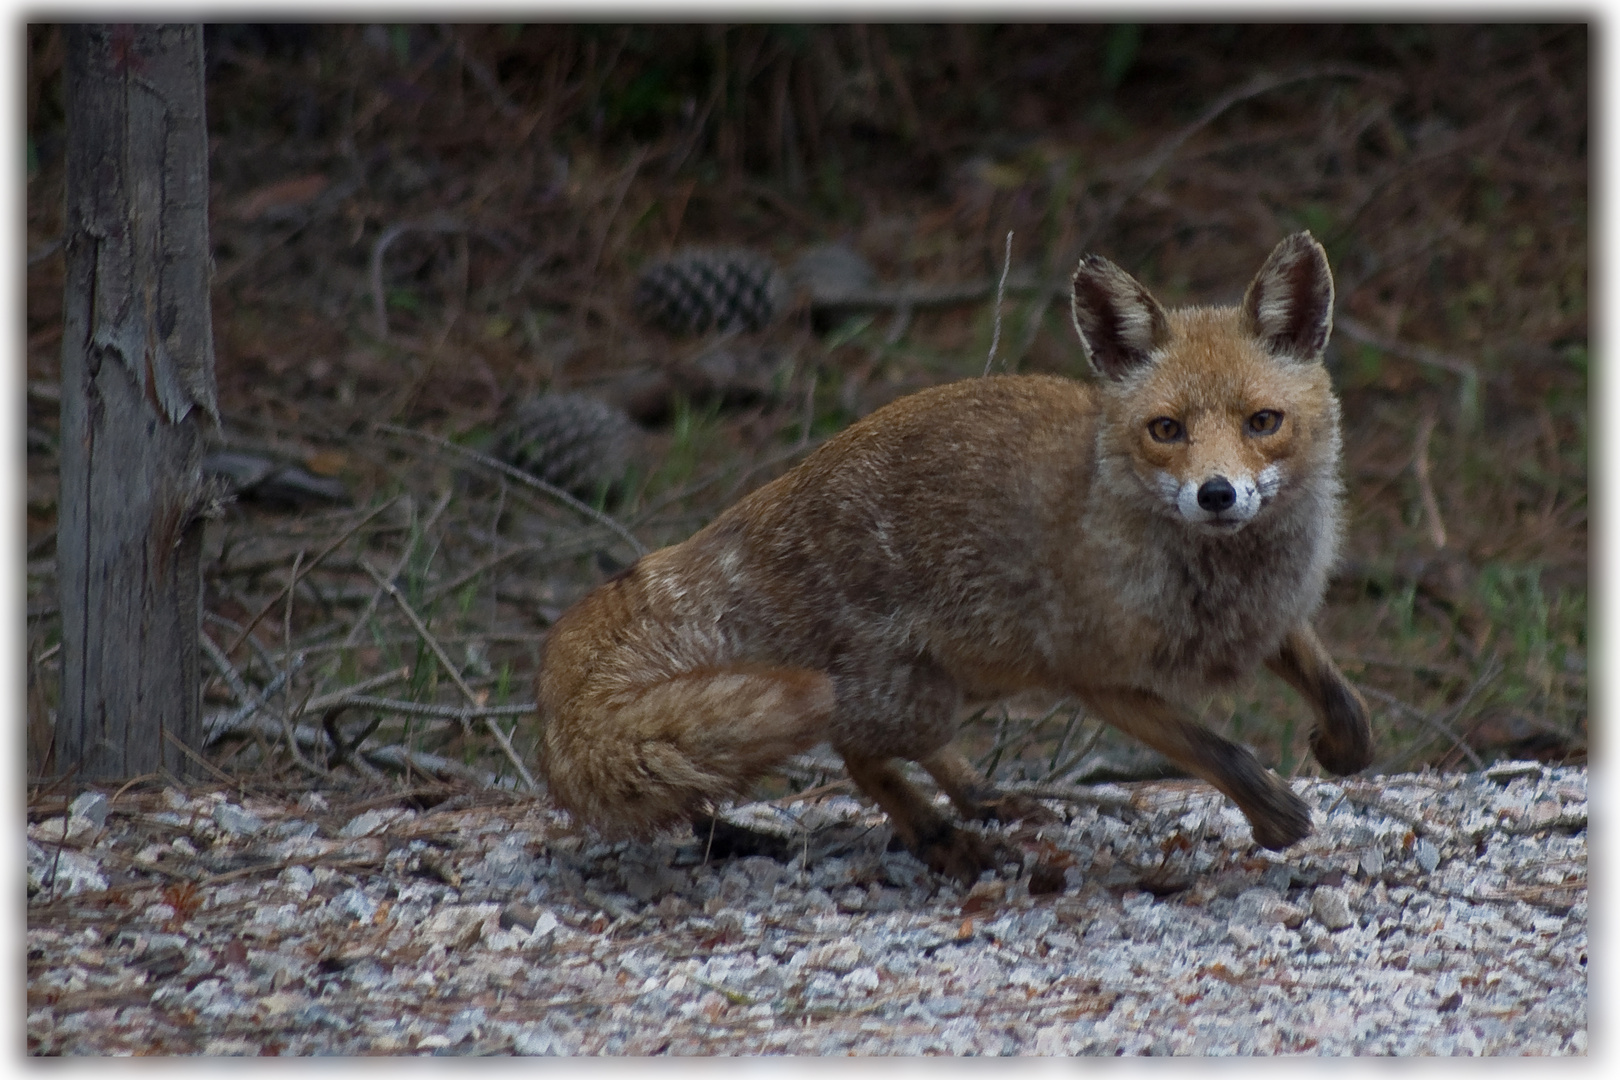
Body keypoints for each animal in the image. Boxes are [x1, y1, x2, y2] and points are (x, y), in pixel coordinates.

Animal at [541, 233, 1367, 880]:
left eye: (1262, 422)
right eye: (1166, 430)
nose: (1217, 495)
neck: (1222, 579)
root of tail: (761, 505)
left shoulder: (1270, 619)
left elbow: (1340, 696)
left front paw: (1337, 746)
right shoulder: (1099, 677)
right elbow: (1219, 751)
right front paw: (1274, 817)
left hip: (972, 676)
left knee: (906, 751)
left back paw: (982, 796)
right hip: (910, 692)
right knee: (858, 754)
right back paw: (942, 837)